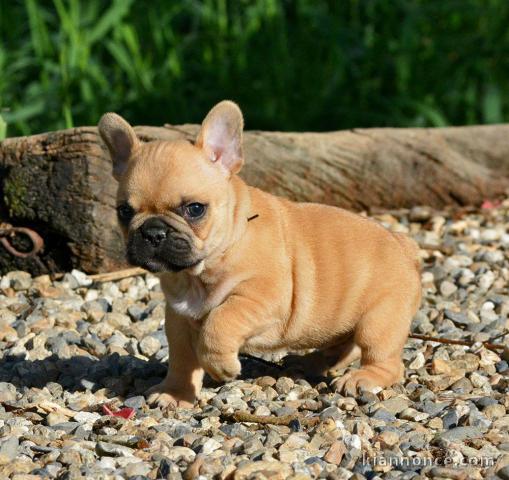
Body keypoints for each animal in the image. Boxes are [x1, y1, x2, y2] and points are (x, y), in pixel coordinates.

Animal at [98, 101, 420, 408]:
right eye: (124, 212)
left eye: (195, 209)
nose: (153, 232)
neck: (200, 273)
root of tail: (403, 243)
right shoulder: (179, 319)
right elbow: (182, 359)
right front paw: (175, 393)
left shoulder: (263, 299)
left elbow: (220, 321)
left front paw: (222, 366)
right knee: (342, 347)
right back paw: (310, 362)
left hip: (379, 319)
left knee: (385, 360)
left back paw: (363, 378)